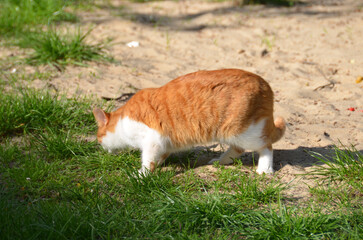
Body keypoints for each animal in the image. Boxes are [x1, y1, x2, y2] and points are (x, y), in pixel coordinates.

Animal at [94, 68, 288, 175]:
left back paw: (264, 169)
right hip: (231, 133)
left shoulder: (152, 139)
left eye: (99, 138)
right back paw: (221, 161)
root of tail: (265, 85)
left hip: (243, 132)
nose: (101, 147)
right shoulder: (164, 143)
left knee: (266, 146)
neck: (123, 121)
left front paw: (141, 175)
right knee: (238, 149)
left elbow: (148, 161)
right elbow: (159, 157)